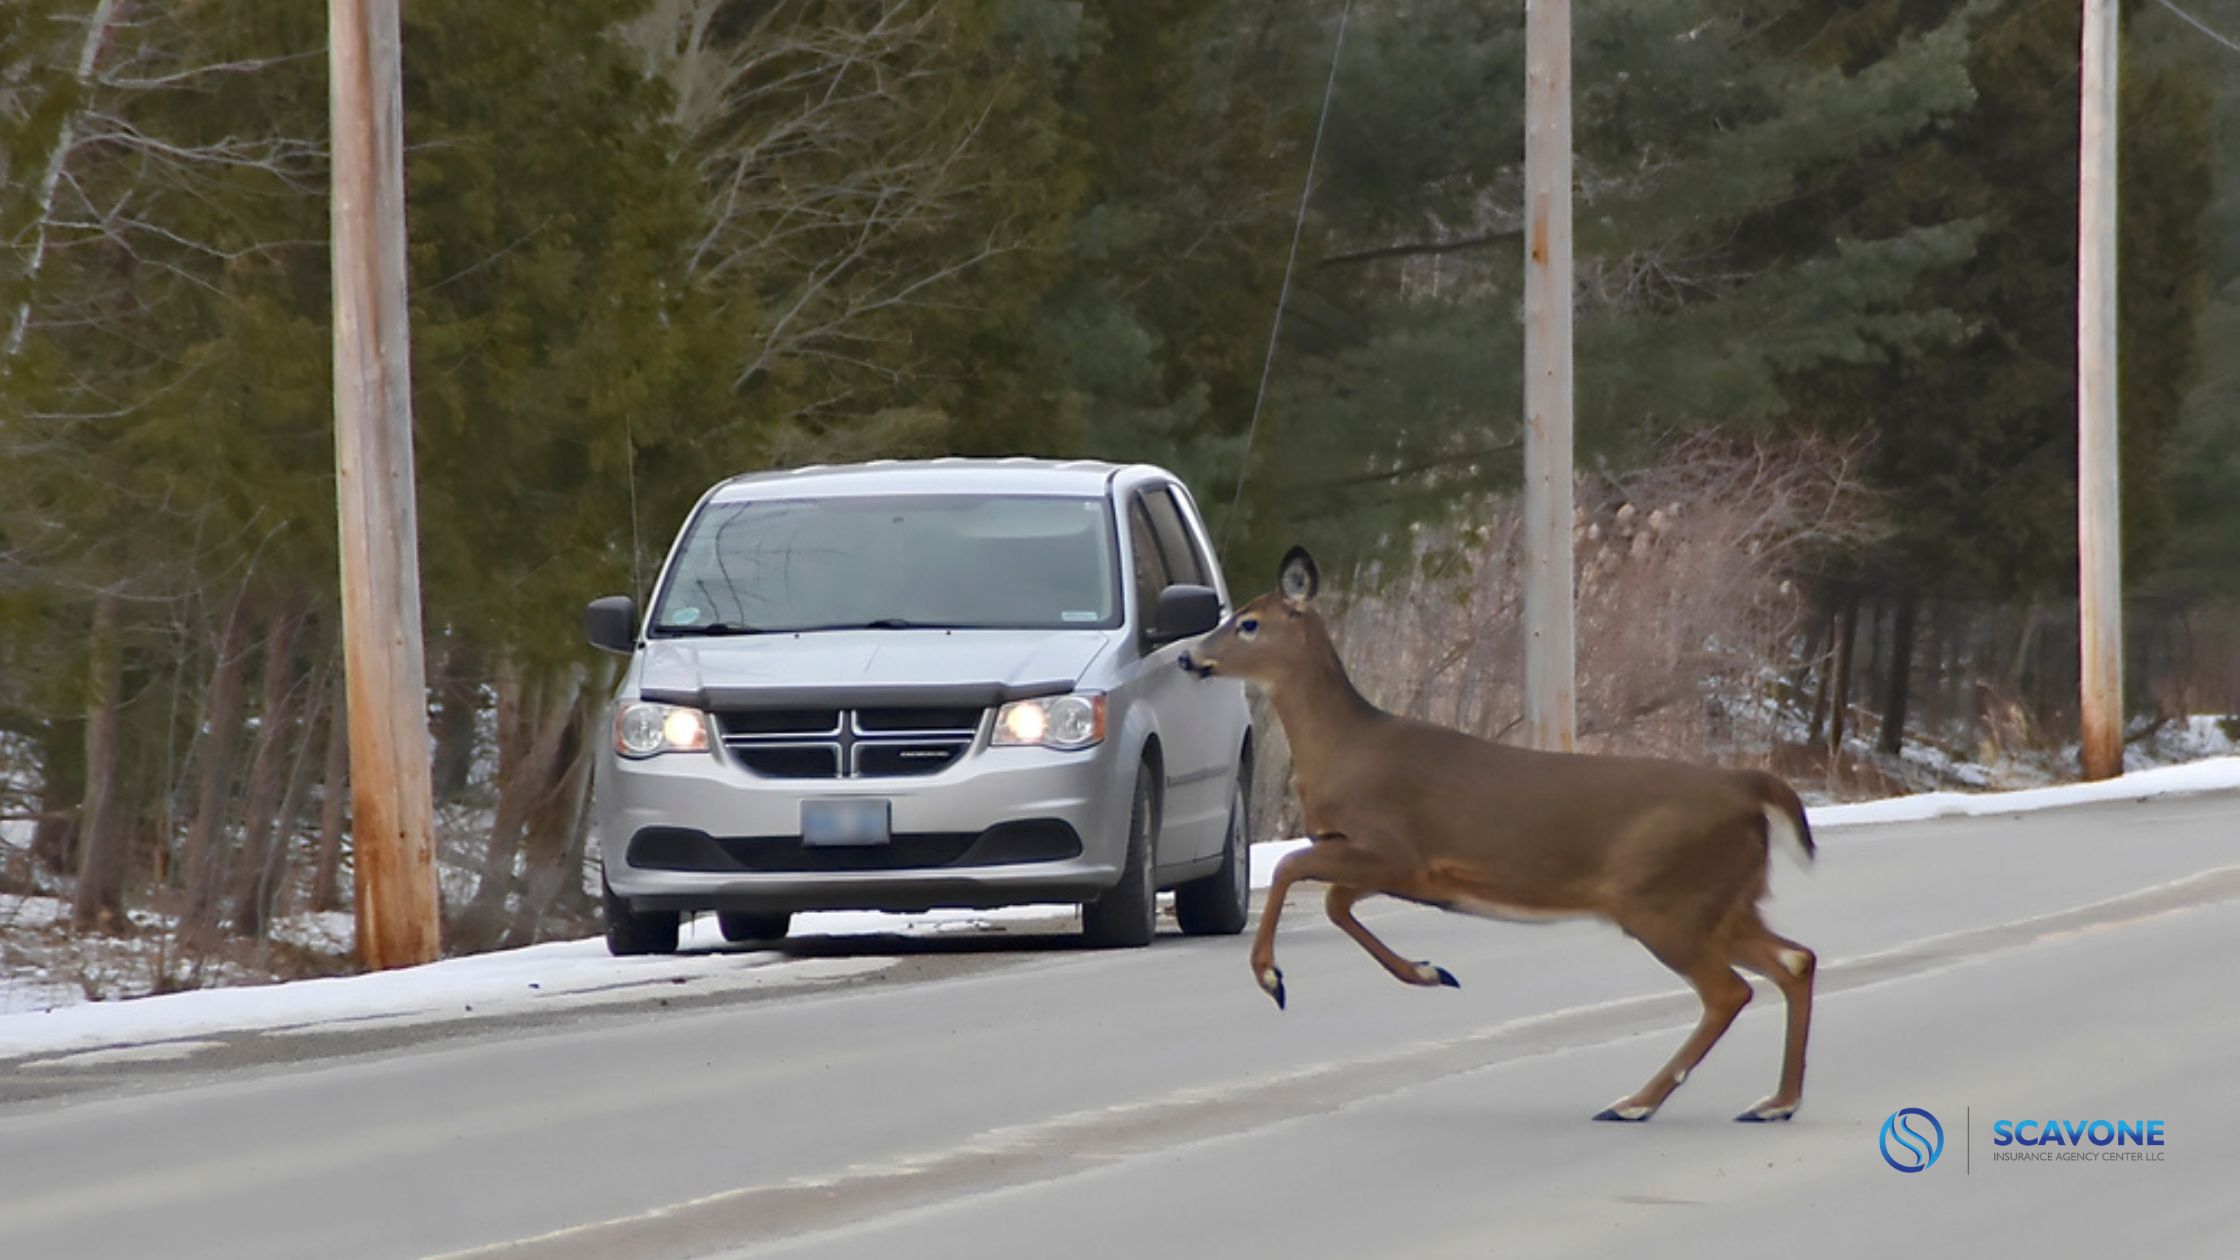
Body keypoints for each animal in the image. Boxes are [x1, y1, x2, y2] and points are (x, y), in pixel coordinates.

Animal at [1182, 542, 1809, 1116]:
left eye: (1248, 623)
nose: (1188, 657)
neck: (1342, 749)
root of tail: (1747, 788)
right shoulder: (1399, 868)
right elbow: (1336, 904)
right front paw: (1429, 971)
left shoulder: (1394, 848)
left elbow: (1291, 868)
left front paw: (1270, 976)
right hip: (1721, 900)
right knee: (1795, 961)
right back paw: (1775, 1101)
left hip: (1665, 899)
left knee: (1730, 990)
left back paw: (1638, 1102)